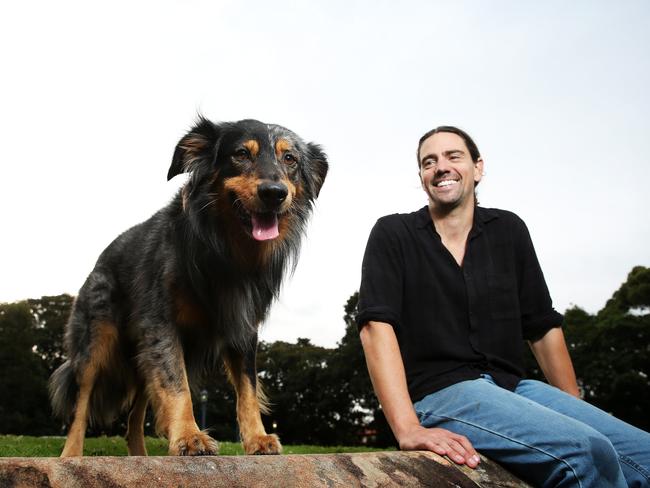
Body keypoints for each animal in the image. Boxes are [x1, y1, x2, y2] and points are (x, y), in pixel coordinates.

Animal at [49, 118, 330, 458]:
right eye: (240, 154)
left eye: (290, 159)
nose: (274, 193)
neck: (226, 249)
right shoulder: (162, 326)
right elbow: (176, 384)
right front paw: (189, 436)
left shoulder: (243, 328)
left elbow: (248, 389)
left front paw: (257, 439)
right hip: (96, 341)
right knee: (81, 403)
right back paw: (71, 455)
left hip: (141, 355)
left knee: (135, 414)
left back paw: (140, 455)